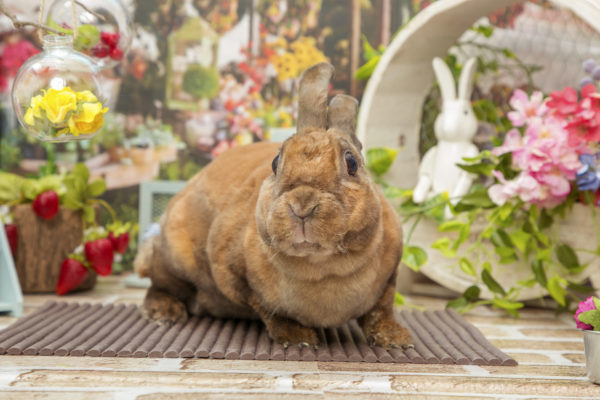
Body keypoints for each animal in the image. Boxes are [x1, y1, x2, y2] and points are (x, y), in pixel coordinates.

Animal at [134, 61, 412, 348]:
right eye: (276, 163)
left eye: (352, 163)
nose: (302, 205)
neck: (322, 266)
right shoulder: (238, 278)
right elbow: (269, 310)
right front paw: (298, 338)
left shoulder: (389, 280)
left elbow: (381, 310)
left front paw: (397, 340)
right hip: (173, 257)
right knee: (159, 283)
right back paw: (164, 313)